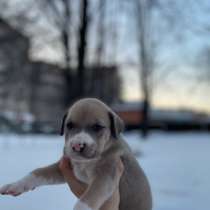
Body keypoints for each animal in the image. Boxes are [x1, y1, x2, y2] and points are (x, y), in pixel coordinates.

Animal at [0, 98, 151, 210]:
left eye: (97, 127)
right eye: (70, 125)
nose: (77, 145)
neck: (85, 163)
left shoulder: (107, 175)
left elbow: (88, 198)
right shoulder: (63, 168)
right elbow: (38, 172)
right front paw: (15, 185)